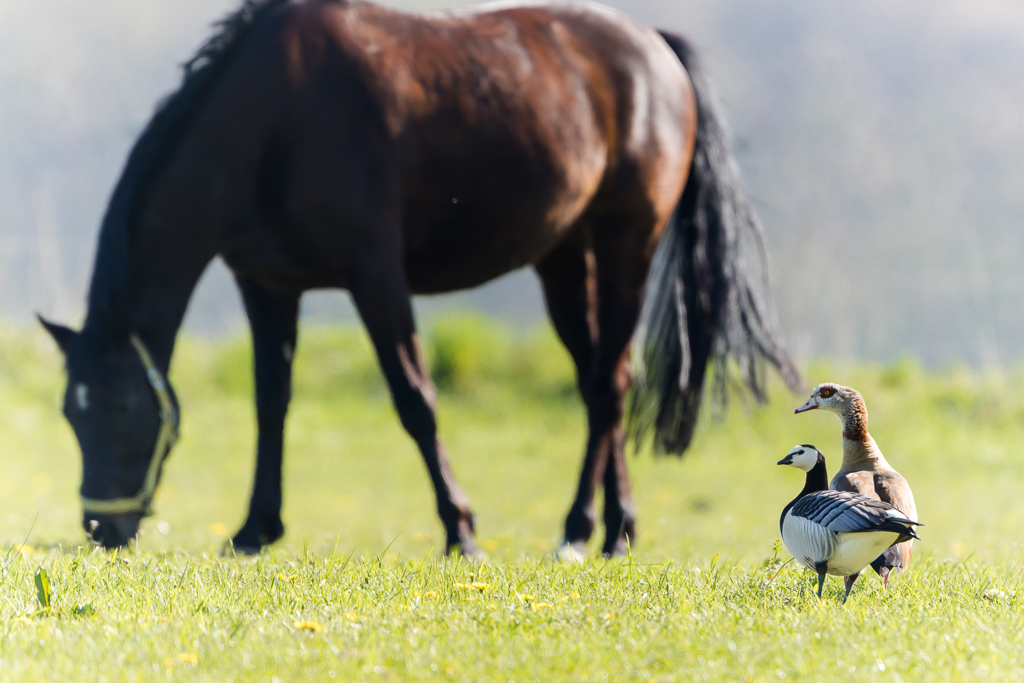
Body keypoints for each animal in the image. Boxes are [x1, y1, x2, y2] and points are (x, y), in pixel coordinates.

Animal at [39, 0, 794, 557]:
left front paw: (461, 529)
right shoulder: (268, 286)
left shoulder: (376, 277)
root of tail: (656, 49)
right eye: (70, 413)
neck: (274, 120)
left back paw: (579, 530)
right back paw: (617, 526)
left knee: (609, 384)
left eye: (120, 409)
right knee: (600, 380)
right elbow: (270, 403)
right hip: (561, 258)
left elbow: (415, 399)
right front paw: (256, 529)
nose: (101, 527)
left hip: (624, 245)